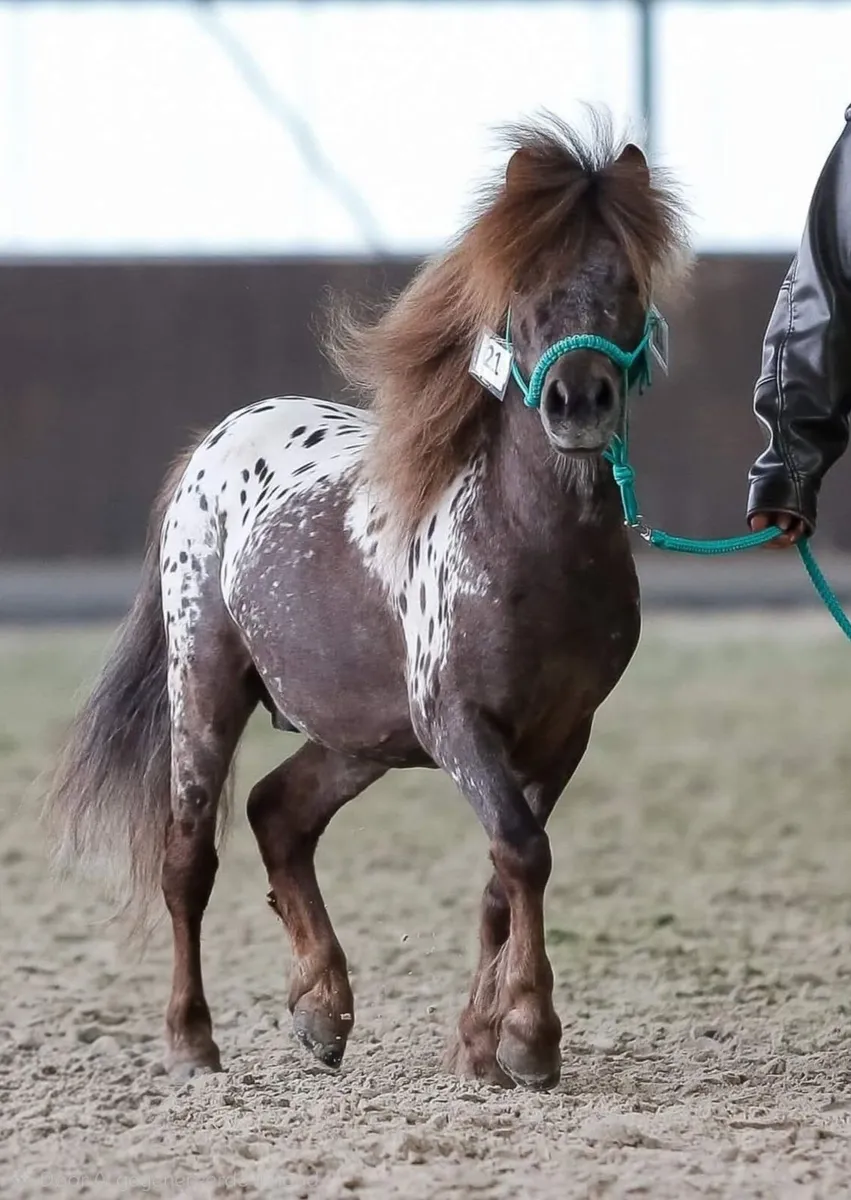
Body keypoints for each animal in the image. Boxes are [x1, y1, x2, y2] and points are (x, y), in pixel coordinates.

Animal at [46, 111, 691, 1091]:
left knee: (278, 812)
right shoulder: (458, 724)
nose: (578, 401)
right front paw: (530, 1036)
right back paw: (193, 1041)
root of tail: (217, 441)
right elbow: (521, 852)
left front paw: (479, 1046)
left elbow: (503, 878)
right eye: (524, 286)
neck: (531, 546)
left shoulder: (561, 735)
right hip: (207, 690)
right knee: (188, 856)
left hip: (361, 734)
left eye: (623, 281)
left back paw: (321, 1009)